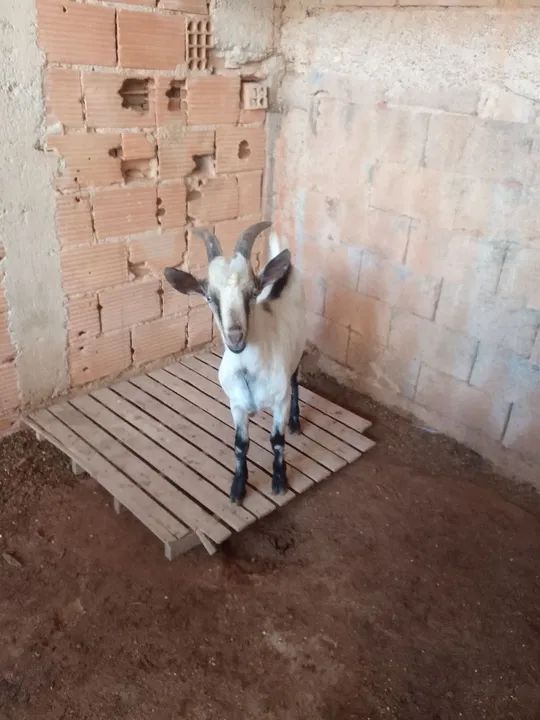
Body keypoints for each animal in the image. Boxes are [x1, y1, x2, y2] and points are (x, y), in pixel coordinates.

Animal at [164, 222, 306, 503]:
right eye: (209, 297)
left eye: (252, 293)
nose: (235, 336)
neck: (249, 372)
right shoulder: (236, 405)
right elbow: (241, 445)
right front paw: (238, 488)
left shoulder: (280, 401)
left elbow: (277, 440)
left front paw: (279, 481)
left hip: (300, 347)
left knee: (296, 380)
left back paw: (296, 422)